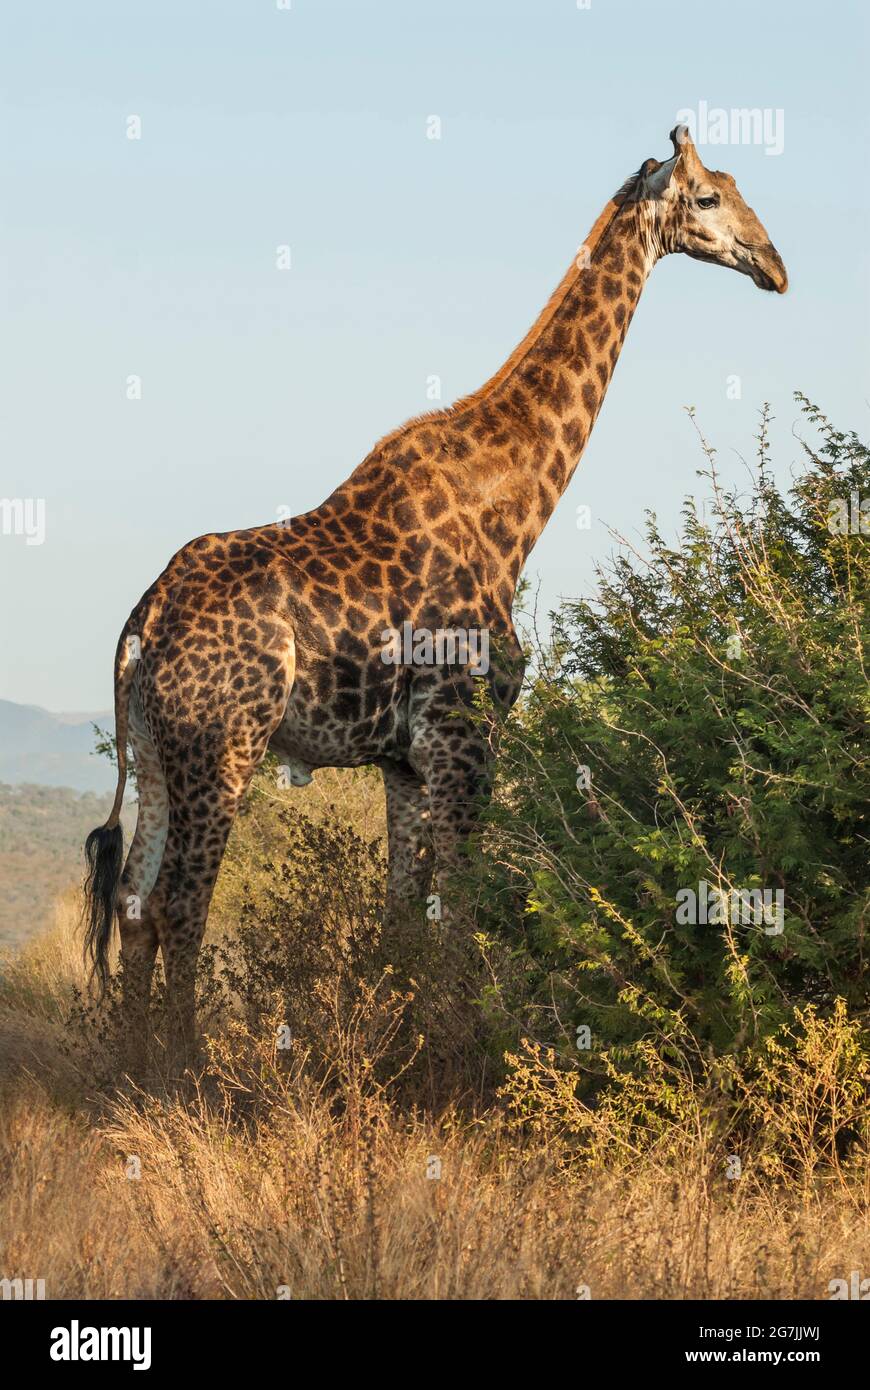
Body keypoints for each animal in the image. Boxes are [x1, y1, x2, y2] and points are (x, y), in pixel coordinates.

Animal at [83, 124, 787, 1056]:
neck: (514, 507)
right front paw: (453, 1056)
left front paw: (398, 1048)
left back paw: (132, 1065)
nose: (775, 265)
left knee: (132, 901)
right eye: (708, 196)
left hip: (154, 751)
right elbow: (456, 918)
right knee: (179, 906)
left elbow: (401, 923)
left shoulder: (406, 762)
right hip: (223, 742)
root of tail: (144, 623)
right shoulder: (464, 737)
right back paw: (184, 1067)